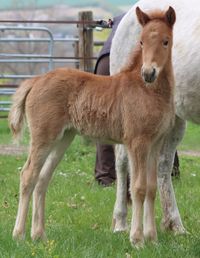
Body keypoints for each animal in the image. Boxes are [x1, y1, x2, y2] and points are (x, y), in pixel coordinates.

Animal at [9, 7, 175, 247]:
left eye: (165, 41)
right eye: (141, 42)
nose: (148, 73)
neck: (148, 90)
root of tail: (36, 80)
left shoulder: (155, 142)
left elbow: (152, 188)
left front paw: (152, 239)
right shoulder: (137, 142)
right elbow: (138, 188)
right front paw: (137, 240)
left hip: (63, 137)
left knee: (42, 178)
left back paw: (39, 234)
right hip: (43, 136)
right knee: (28, 175)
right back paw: (19, 235)